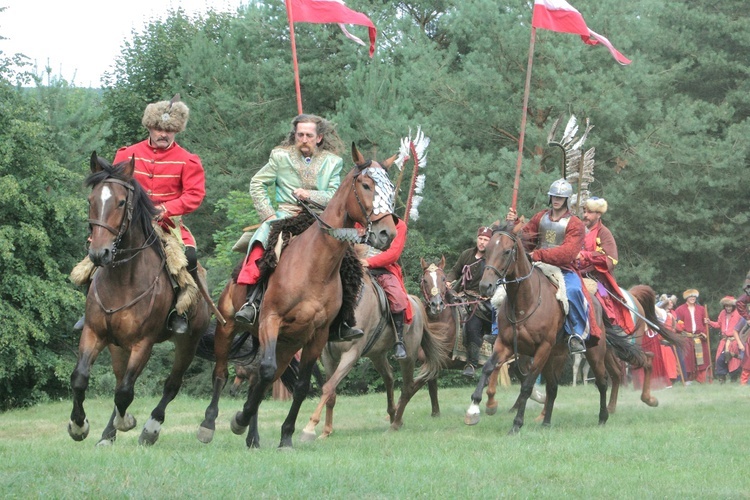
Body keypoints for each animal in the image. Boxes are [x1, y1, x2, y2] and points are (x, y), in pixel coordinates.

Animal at [68, 152, 210, 446]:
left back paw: (150, 428)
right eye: (91, 200)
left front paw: (128, 422)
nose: (99, 253)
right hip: (117, 346)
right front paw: (78, 425)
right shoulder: (94, 333)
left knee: (171, 385)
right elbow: (80, 378)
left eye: (121, 202)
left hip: (187, 343)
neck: (122, 280)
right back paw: (107, 434)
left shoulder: (143, 343)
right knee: (120, 378)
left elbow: (125, 392)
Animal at [198, 145, 400, 450]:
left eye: (391, 189)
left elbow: (301, 385)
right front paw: (238, 420)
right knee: (222, 372)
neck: (314, 265)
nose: (387, 233)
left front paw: (286, 436)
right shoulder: (270, 320)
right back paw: (209, 425)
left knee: (260, 378)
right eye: (366, 185)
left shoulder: (316, 335)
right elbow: (264, 372)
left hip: (287, 343)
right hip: (229, 326)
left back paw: (253, 437)